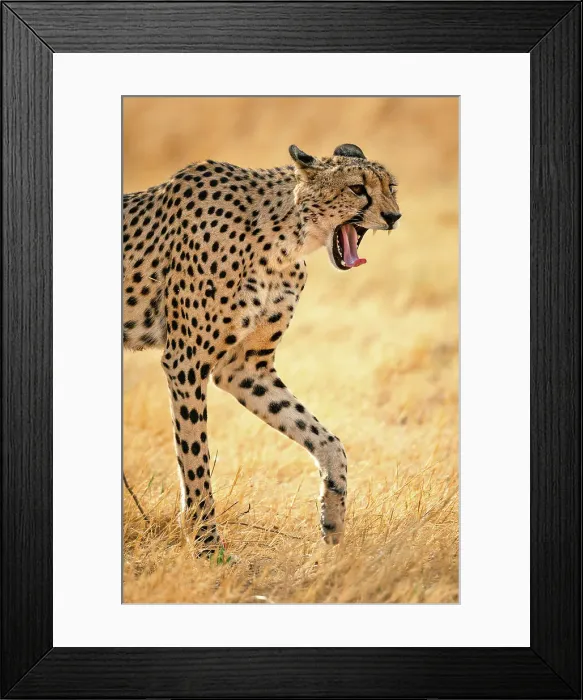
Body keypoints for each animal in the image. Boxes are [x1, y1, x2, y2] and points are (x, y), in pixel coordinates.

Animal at [123, 143, 401, 554]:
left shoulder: (243, 367)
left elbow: (325, 438)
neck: (283, 238)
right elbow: (195, 455)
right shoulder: (185, 360)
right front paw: (206, 544)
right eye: (357, 188)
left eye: (390, 186)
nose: (394, 216)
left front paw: (333, 517)